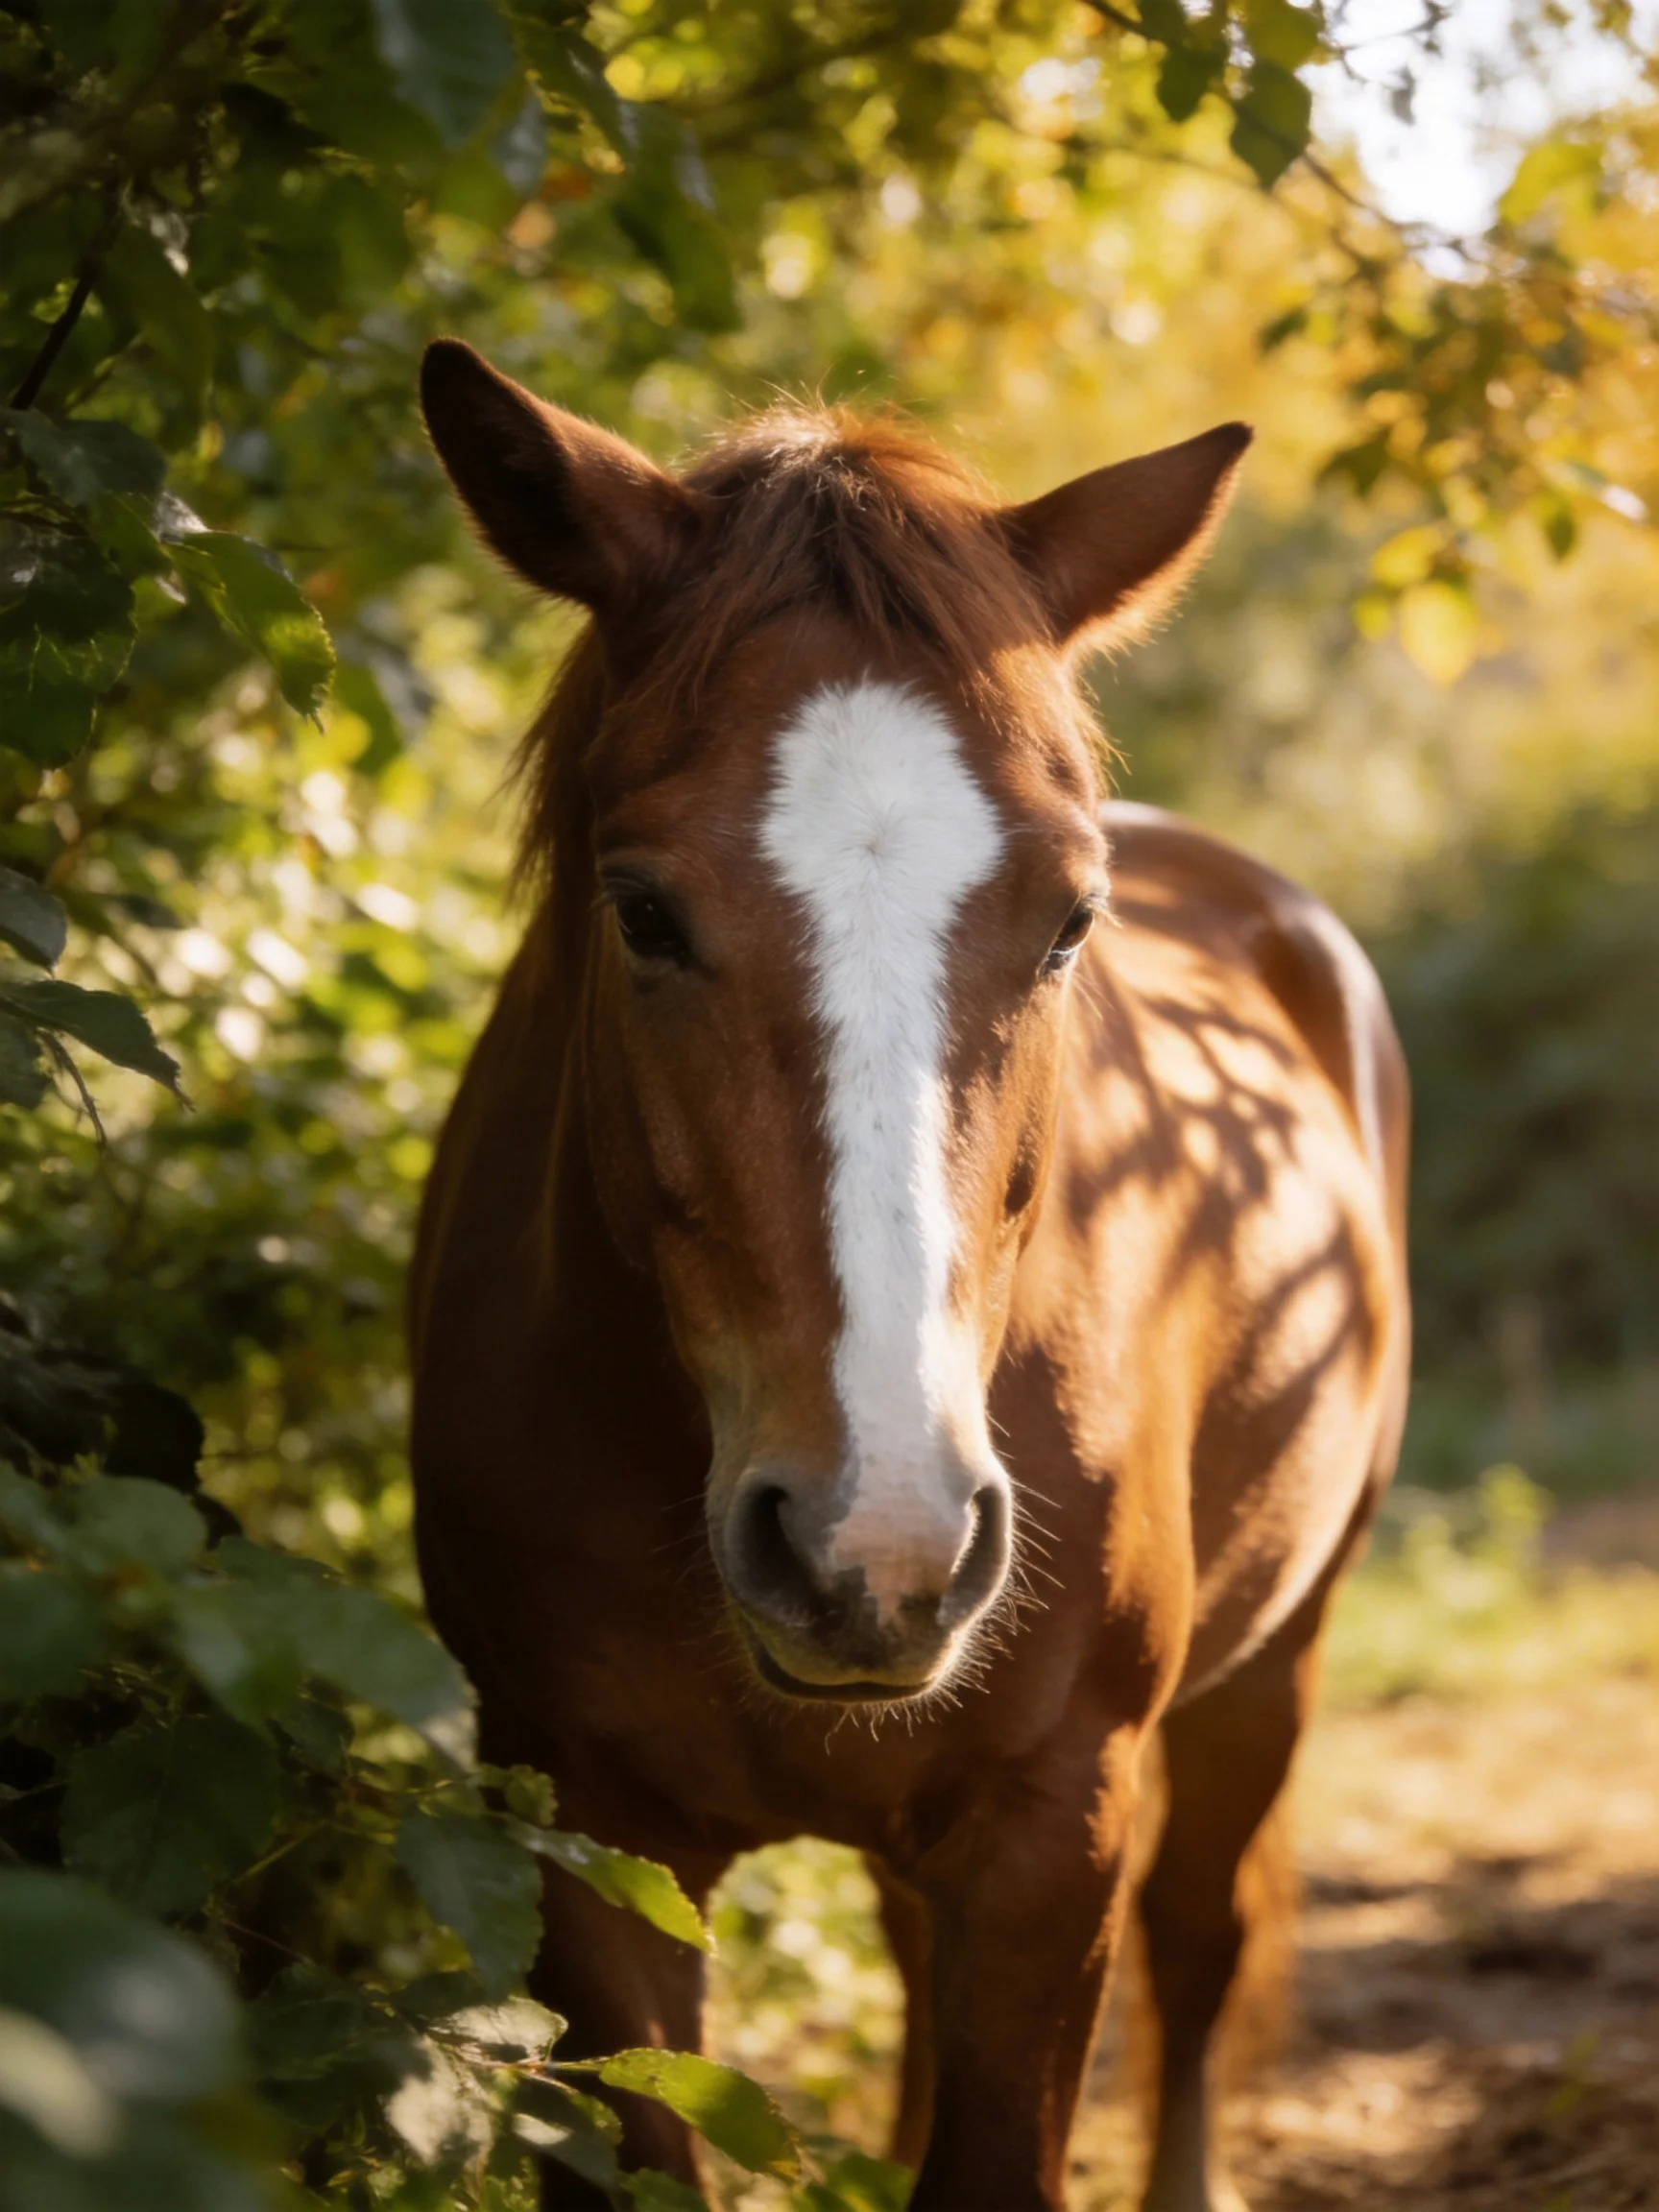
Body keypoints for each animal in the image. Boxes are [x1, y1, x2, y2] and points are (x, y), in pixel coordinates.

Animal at [409, 337, 1410, 2212]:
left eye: (1070, 920)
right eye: (641, 909)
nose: (872, 1547)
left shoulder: (1049, 1831)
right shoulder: (580, 1834)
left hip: (1275, 1660)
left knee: (1199, 1941)